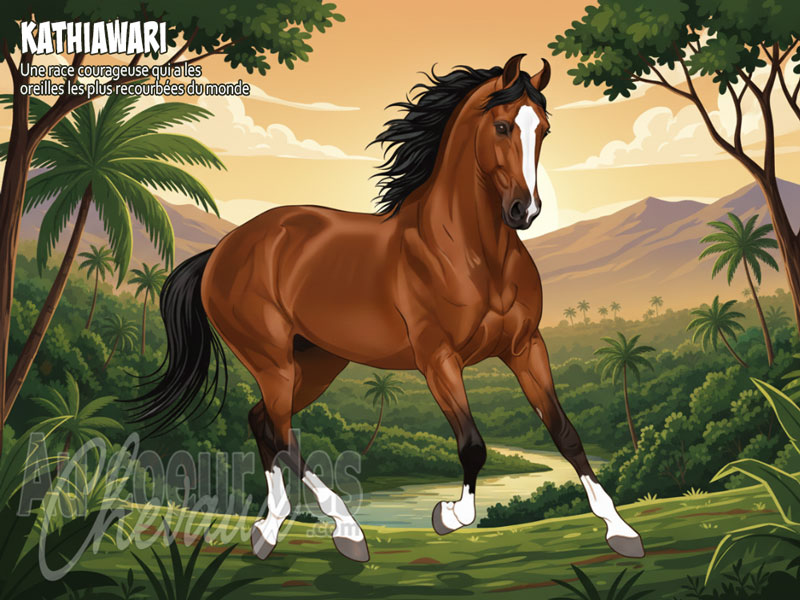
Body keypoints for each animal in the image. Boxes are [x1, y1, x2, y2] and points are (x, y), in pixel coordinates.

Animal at [131, 54, 644, 563]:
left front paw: (621, 531)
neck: (471, 254)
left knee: (262, 423)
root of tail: (221, 251)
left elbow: (565, 432)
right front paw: (448, 515)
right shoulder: (438, 359)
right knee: (280, 431)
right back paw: (343, 530)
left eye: (544, 130)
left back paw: (274, 530)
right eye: (501, 126)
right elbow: (473, 446)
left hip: (318, 361)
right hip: (271, 360)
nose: (525, 210)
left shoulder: (525, 348)